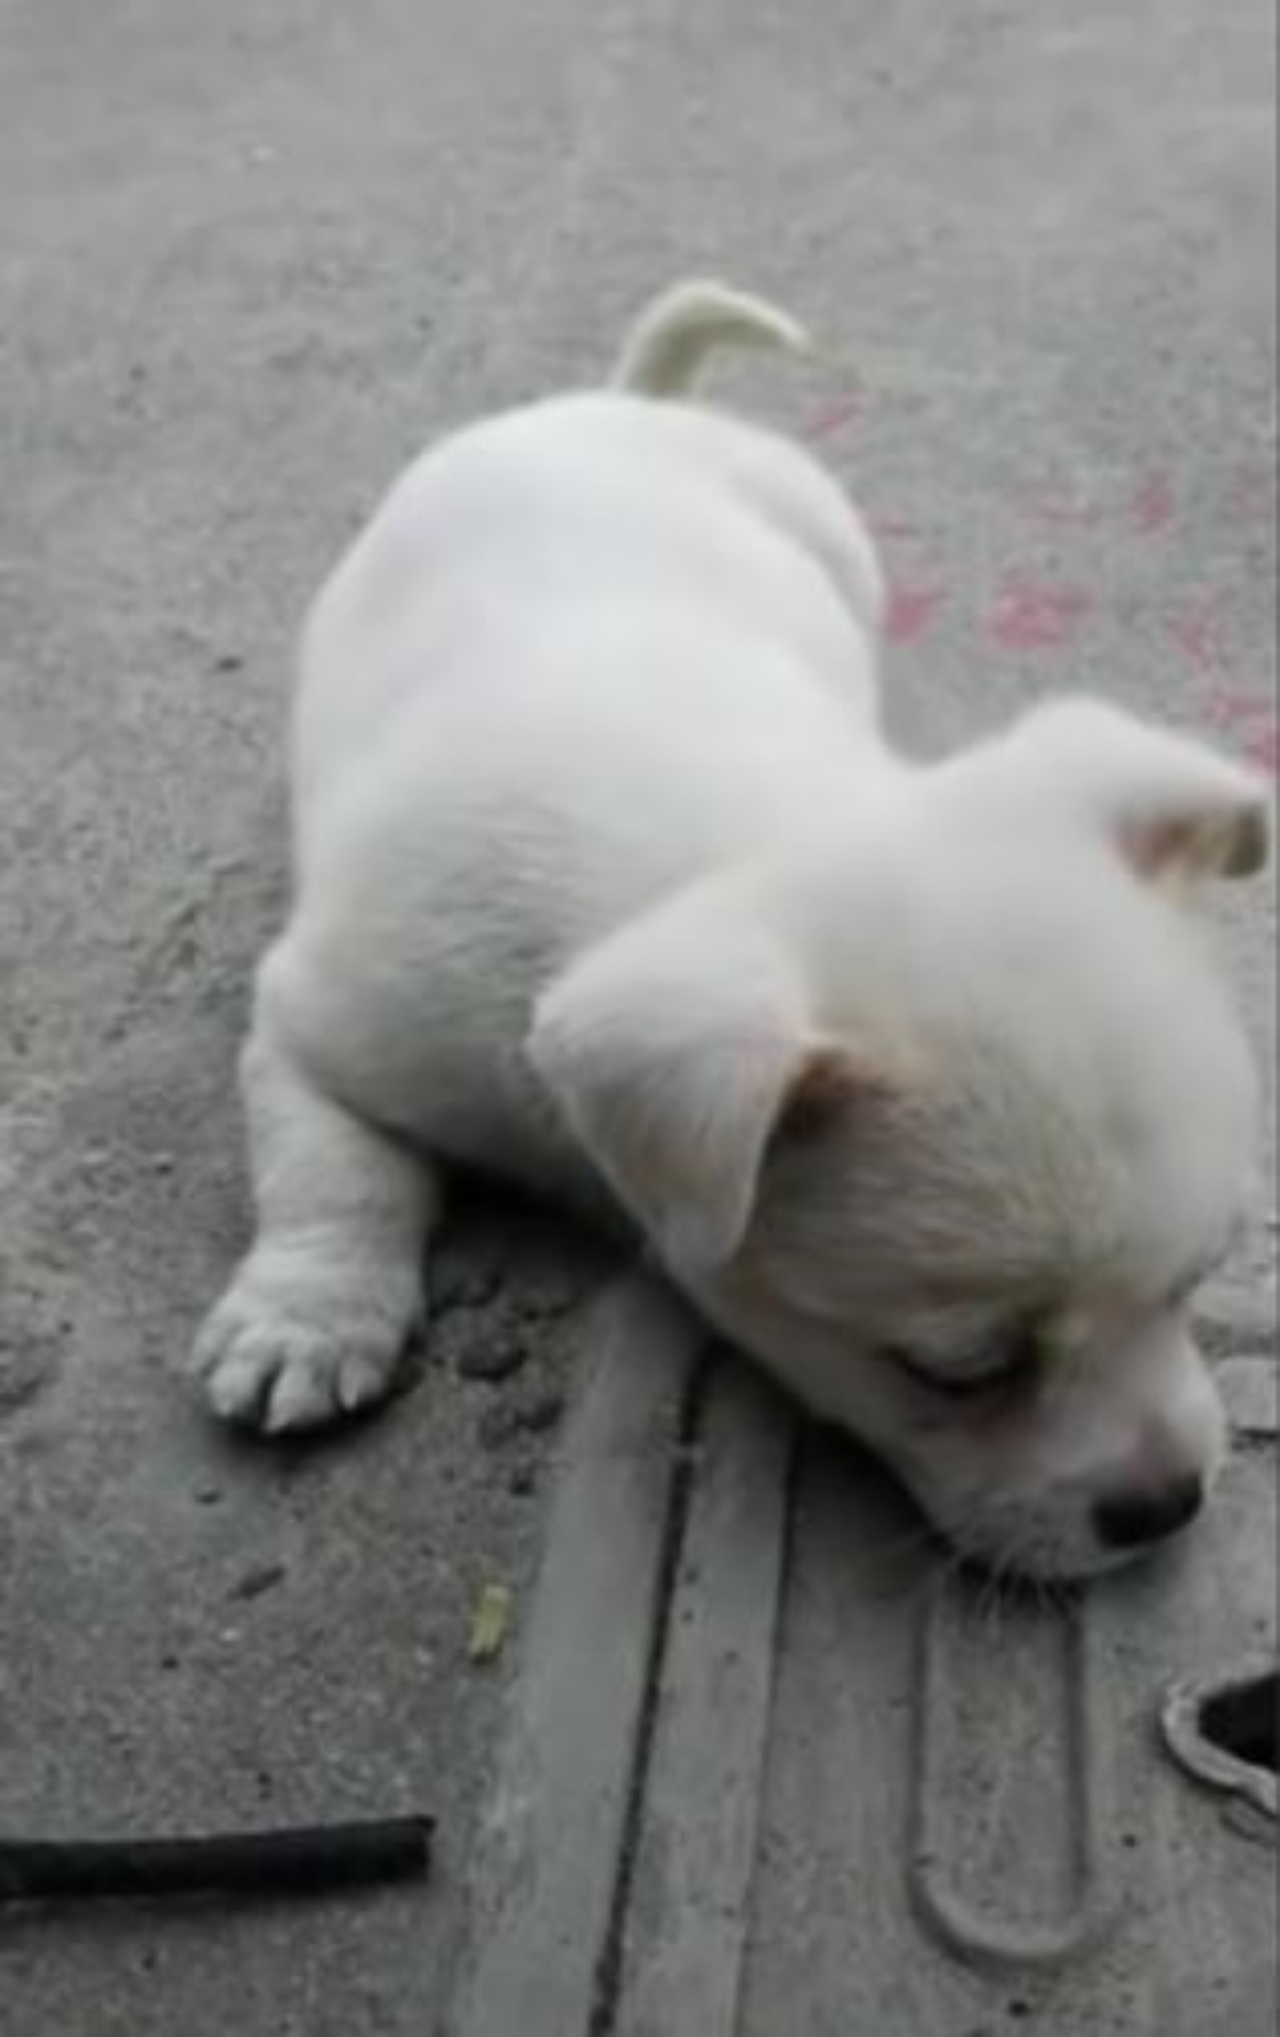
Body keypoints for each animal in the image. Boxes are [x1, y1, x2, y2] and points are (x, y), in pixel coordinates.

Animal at [192, 279, 1271, 1580]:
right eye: (958, 1369)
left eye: (1199, 1280)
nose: (1167, 1509)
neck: (732, 841)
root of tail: (621, 402)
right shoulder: (326, 1021)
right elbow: (333, 1166)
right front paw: (306, 1314)